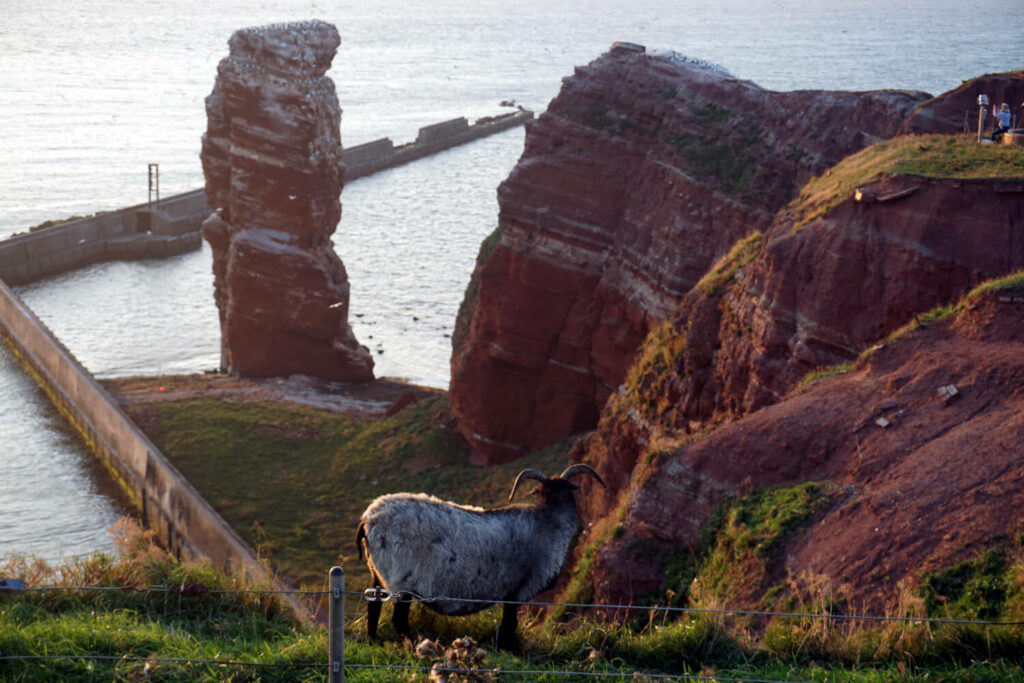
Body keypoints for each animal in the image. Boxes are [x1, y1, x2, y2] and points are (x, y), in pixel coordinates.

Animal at [356, 462, 602, 651]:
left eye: (565, 491)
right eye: (544, 492)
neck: (548, 520)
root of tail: (368, 518)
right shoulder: (518, 589)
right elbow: (510, 624)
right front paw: (509, 650)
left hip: (376, 572)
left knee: (374, 607)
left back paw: (373, 642)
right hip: (402, 579)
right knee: (398, 620)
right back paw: (416, 647)